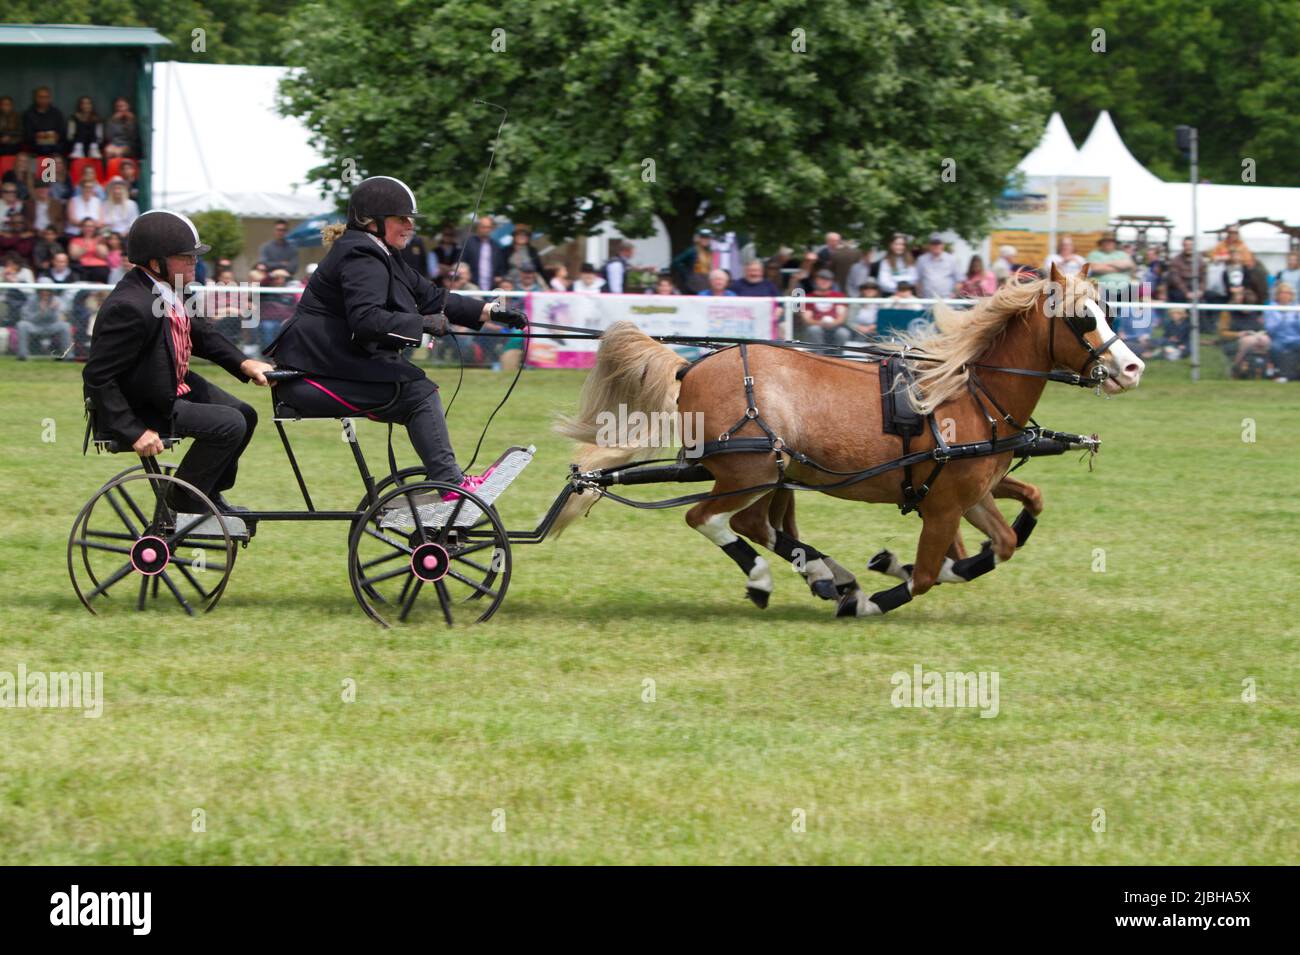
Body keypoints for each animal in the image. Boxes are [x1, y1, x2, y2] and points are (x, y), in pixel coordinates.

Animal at [553, 263, 1144, 621]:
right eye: (1079, 318)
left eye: (1107, 309)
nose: (1132, 368)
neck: (966, 395)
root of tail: (688, 368)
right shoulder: (945, 504)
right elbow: (928, 575)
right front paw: (875, 594)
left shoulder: (969, 493)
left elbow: (1006, 536)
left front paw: (884, 569)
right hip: (750, 472)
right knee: (710, 520)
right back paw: (774, 580)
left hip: (771, 474)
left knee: (756, 526)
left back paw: (825, 575)